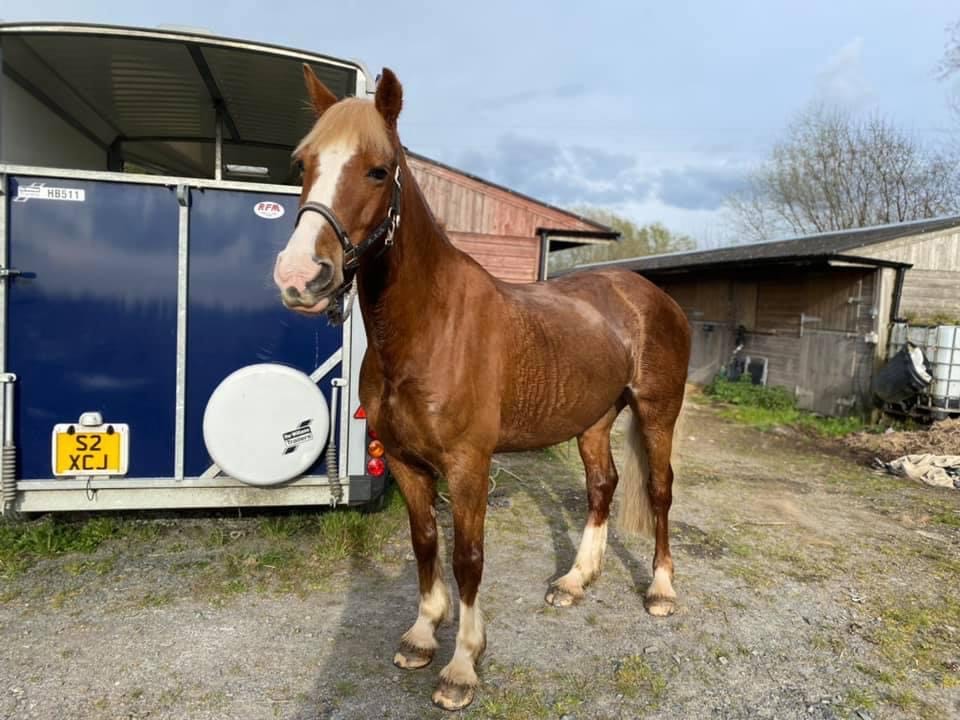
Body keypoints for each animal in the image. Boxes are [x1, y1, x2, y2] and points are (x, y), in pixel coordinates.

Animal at [273, 65, 691, 711]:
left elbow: (468, 558)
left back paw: (662, 590)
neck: (429, 327)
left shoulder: (469, 464)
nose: (300, 278)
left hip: (656, 412)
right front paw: (424, 634)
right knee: (602, 486)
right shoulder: (406, 460)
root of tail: (649, 295)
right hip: (593, 418)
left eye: (378, 169)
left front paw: (463, 666)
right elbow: (425, 542)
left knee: (660, 492)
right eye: (303, 163)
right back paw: (574, 580)